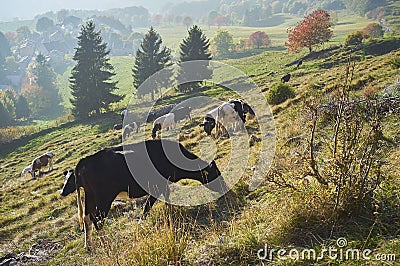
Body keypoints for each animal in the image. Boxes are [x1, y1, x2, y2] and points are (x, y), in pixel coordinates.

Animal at [59, 140, 228, 250]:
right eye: (215, 172)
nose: (226, 189)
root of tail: (85, 160)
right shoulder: (157, 185)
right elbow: (147, 207)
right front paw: (142, 224)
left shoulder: (164, 184)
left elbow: (166, 200)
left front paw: (171, 213)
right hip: (104, 198)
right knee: (97, 219)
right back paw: (106, 243)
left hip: (90, 196)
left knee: (87, 219)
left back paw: (89, 246)